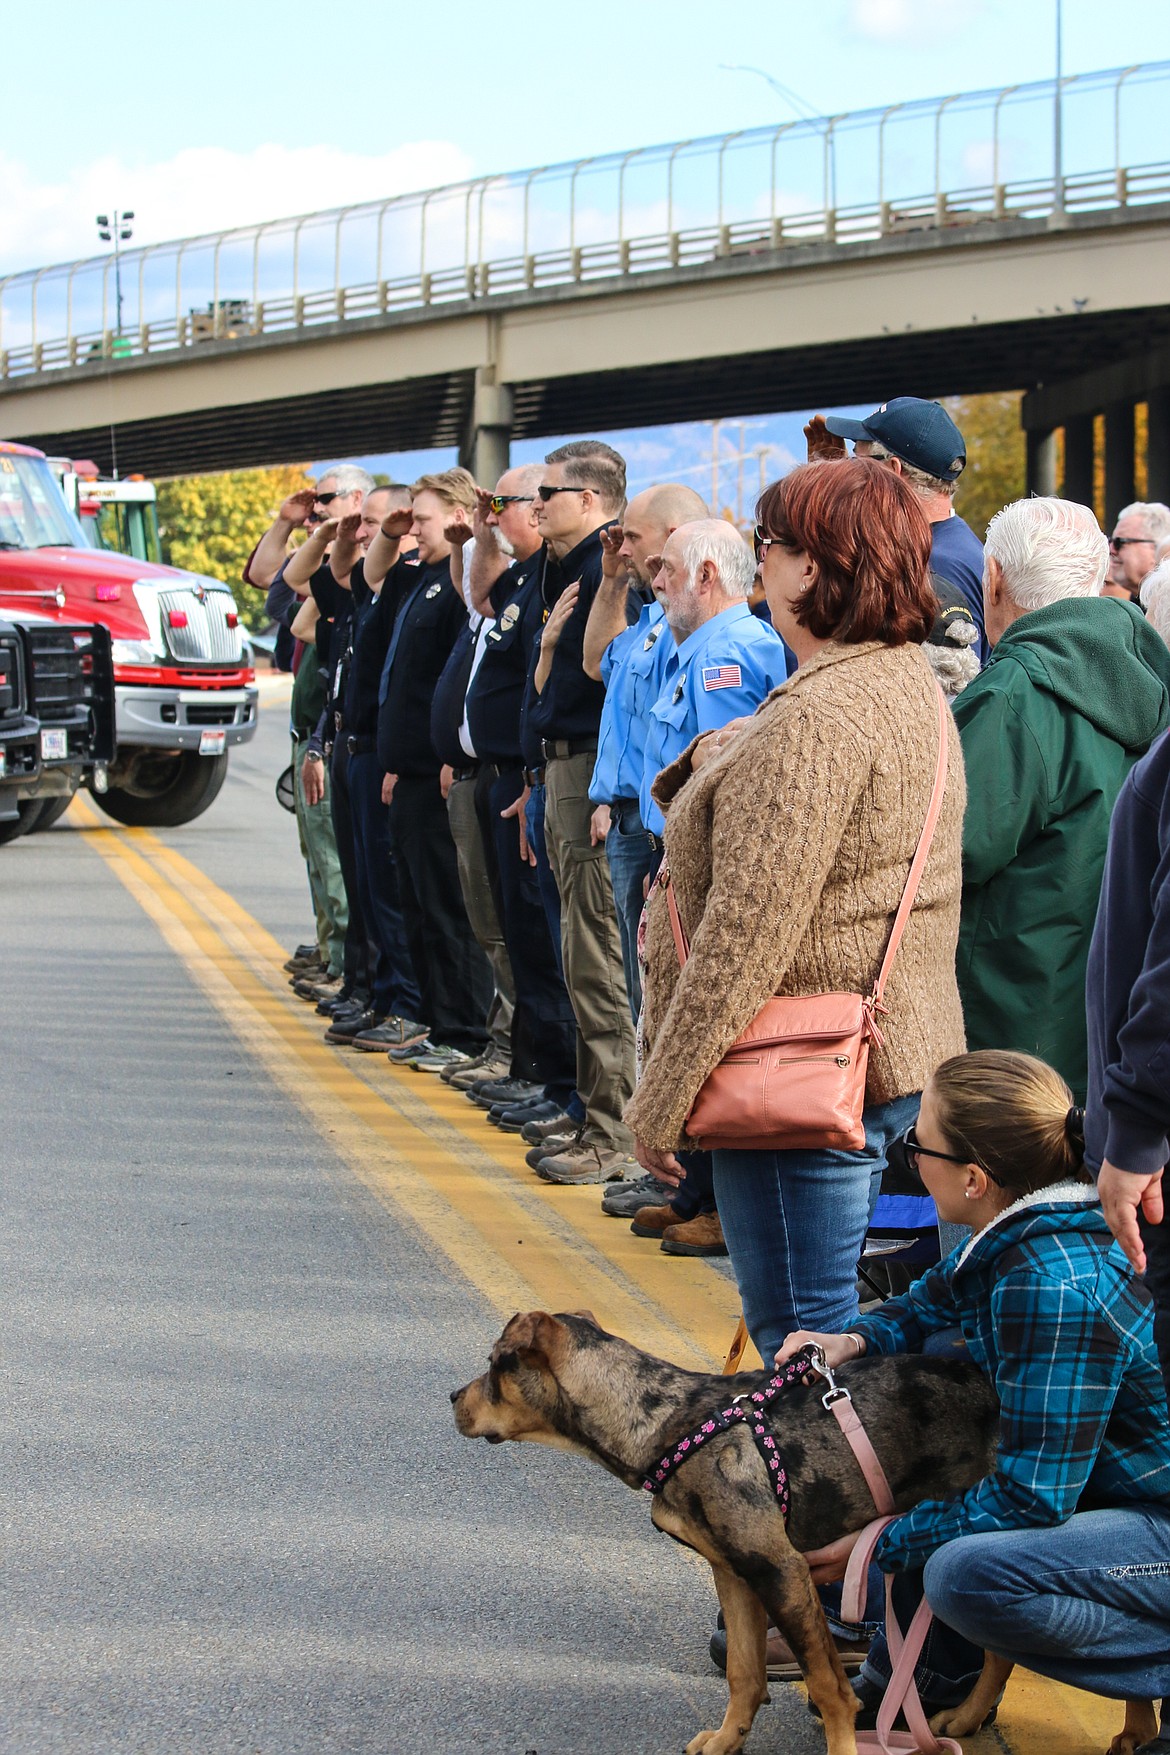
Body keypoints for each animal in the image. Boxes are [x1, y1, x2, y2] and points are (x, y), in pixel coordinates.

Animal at [449, 1312, 996, 1747]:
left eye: (495, 1364)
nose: (452, 1397)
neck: (665, 1421)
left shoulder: (780, 1571)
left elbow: (830, 1689)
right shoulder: (736, 1573)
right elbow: (743, 1674)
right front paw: (725, 1742)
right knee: (997, 1651)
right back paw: (964, 1719)